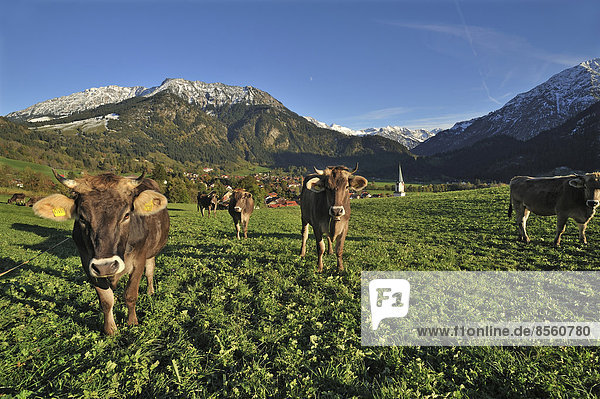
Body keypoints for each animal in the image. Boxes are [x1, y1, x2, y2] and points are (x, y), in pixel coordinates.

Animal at [32, 170, 170, 336]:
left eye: (126, 215)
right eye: (82, 218)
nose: (106, 266)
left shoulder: (139, 260)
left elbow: (130, 295)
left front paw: (132, 322)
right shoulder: (88, 265)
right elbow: (106, 300)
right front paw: (110, 329)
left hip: (151, 252)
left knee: (149, 271)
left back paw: (150, 291)